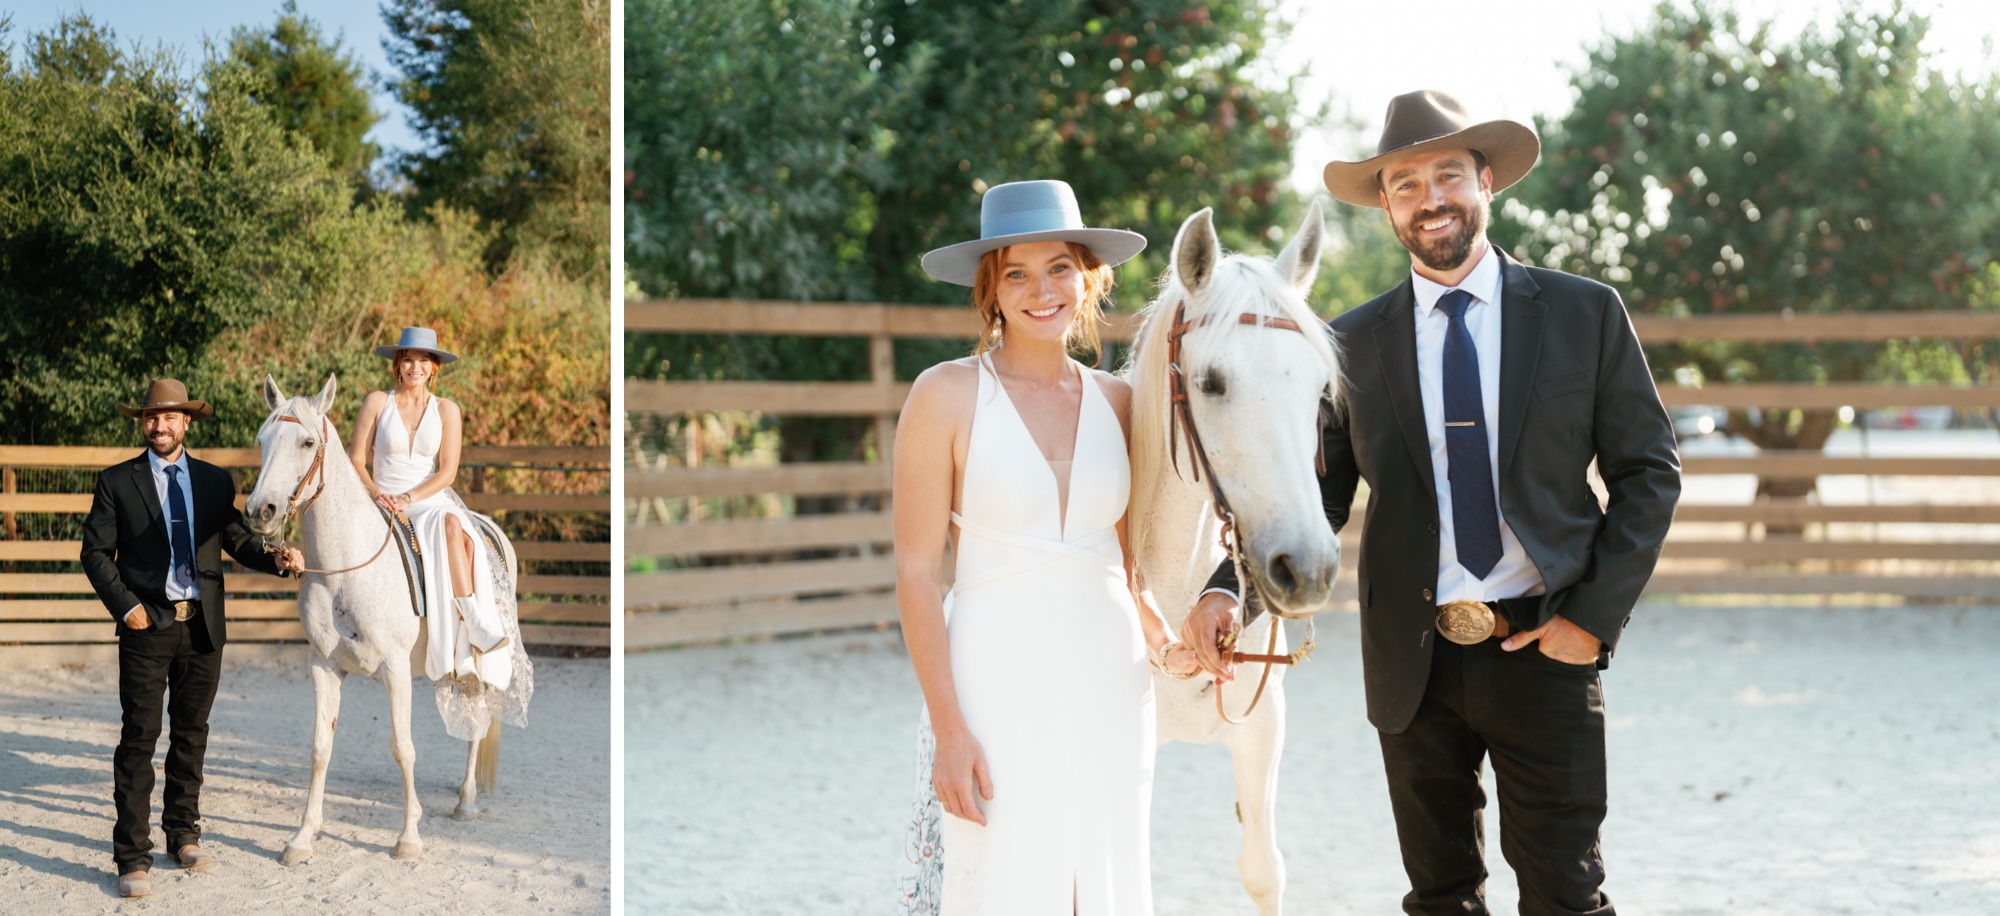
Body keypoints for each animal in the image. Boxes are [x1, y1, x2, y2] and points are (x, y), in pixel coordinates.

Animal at [245, 374, 516, 864]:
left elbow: (402, 748)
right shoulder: (323, 666)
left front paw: (408, 838)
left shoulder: (395, 670)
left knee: (478, 723)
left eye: (307, 442)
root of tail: (486, 525)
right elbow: (320, 748)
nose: (260, 511)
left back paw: (466, 802)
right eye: (261, 440)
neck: (344, 569)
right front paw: (302, 837)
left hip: (479, 665)